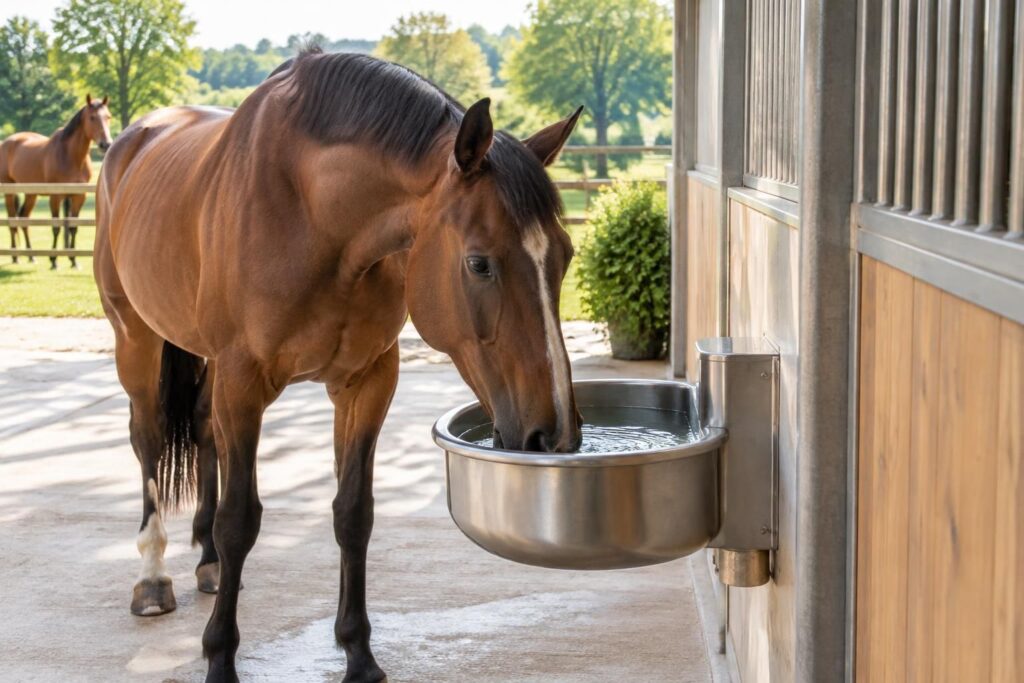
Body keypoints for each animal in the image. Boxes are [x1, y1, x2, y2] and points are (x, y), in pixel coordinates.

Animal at [0, 94, 113, 268]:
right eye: (92, 117)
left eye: (108, 116)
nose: (105, 144)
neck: (71, 156)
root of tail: (7, 142)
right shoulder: (56, 197)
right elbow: (56, 227)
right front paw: (53, 260)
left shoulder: (78, 196)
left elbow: (73, 227)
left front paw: (73, 260)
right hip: (9, 192)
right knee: (12, 221)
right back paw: (15, 257)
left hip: (31, 194)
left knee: (24, 218)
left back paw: (31, 256)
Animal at [94, 50, 583, 682]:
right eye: (479, 263)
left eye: (565, 256)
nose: (555, 435)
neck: (315, 216)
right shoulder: (243, 382)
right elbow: (240, 520)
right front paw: (220, 657)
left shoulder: (366, 381)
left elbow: (353, 514)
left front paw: (358, 653)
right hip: (134, 336)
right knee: (150, 437)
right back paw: (153, 577)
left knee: (202, 429)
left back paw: (207, 562)